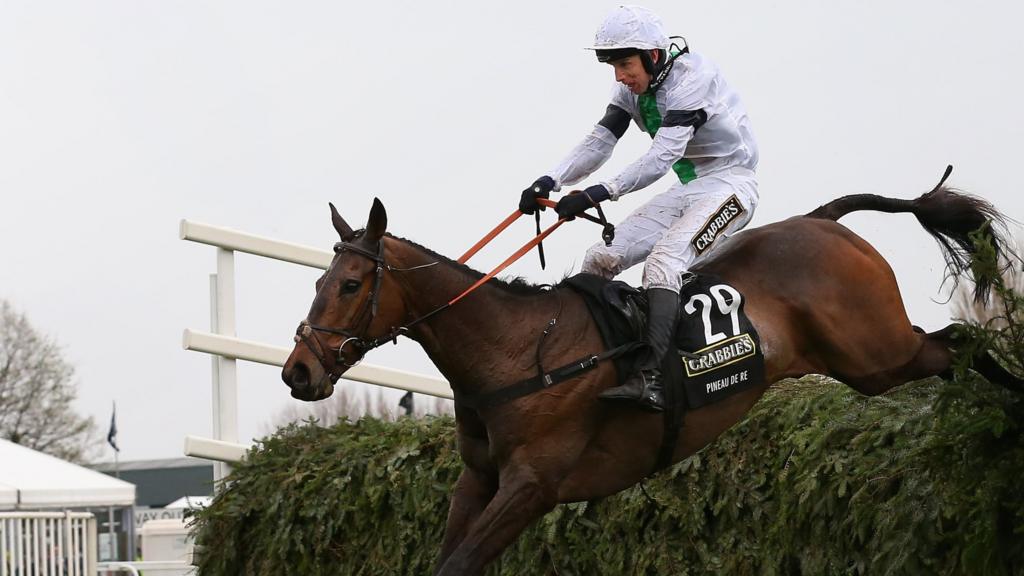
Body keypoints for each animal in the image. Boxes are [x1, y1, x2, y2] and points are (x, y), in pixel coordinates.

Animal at [282, 176, 1024, 573]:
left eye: (349, 284)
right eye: (317, 281)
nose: (297, 371)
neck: (518, 350)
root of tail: (824, 222)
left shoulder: (533, 485)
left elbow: (463, 563)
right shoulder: (481, 478)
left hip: (875, 353)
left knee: (959, 341)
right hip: (869, 361)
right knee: (954, 347)